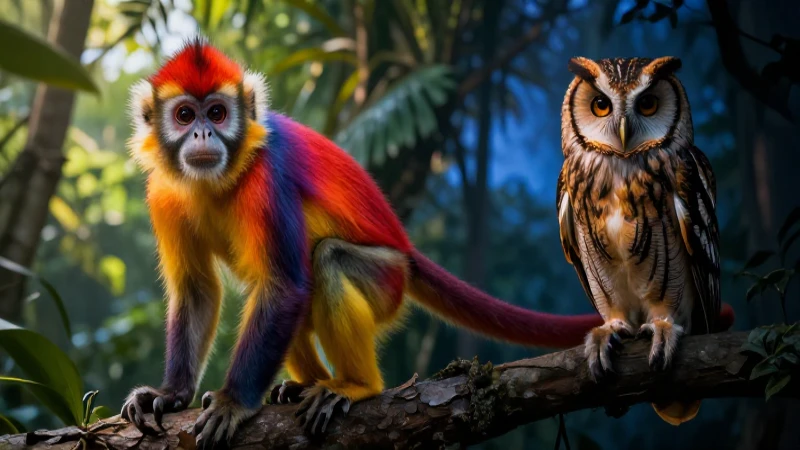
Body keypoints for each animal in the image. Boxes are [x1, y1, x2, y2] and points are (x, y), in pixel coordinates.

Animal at [121, 39, 603, 449]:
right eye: (186, 116)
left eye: (218, 113)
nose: (202, 134)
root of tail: (406, 249)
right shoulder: (163, 192)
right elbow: (198, 289)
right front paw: (171, 393)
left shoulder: (266, 176)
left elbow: (285, 286)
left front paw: (235, 402)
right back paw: (306, 384)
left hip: (387, 280)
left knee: (324, 262)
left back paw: (357, 386)